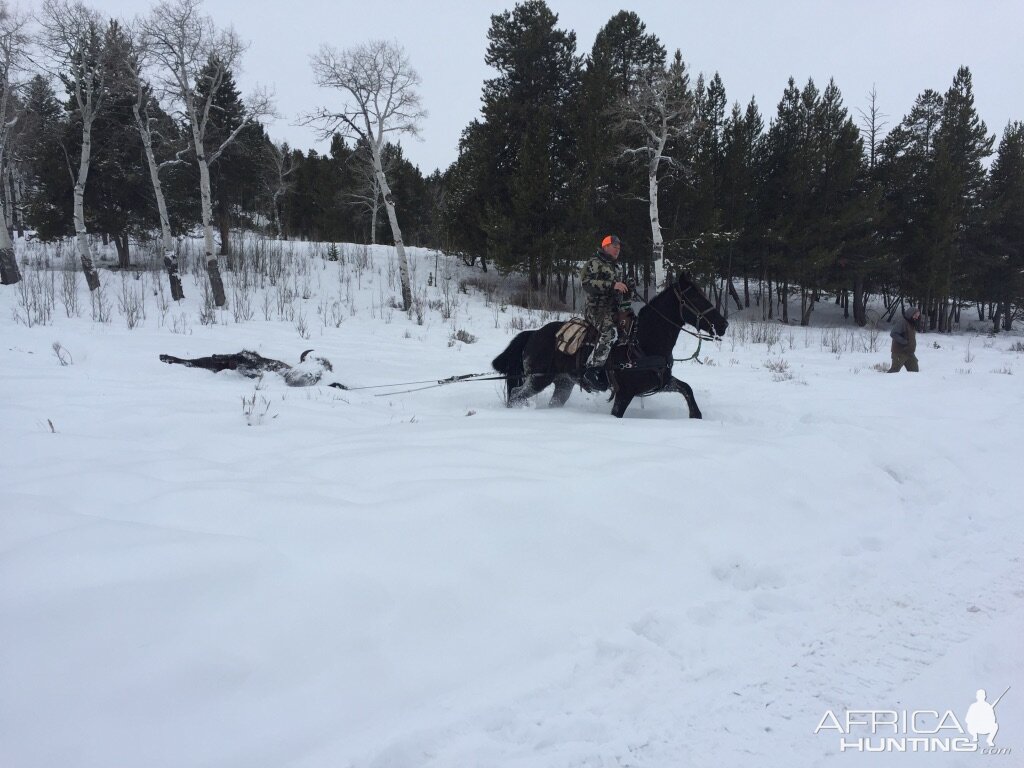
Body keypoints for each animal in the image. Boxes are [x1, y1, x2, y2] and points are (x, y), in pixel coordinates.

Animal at [489, 274, 724, 417]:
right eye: (696, 298)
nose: (723, 325)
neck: (644, 342)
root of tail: (533, 334)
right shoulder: (624, 394)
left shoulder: (661, 382)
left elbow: (686, 388)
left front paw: (696, 415)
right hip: (538, 379)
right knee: (516, 393)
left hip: (563, 384)